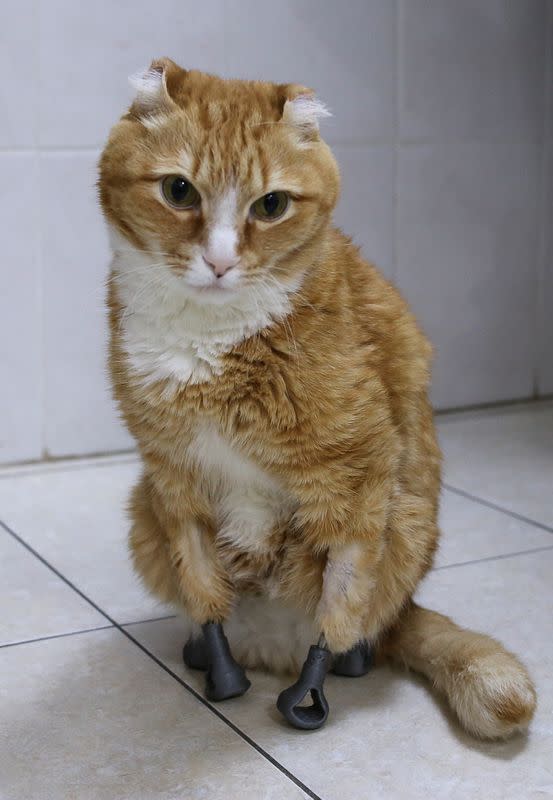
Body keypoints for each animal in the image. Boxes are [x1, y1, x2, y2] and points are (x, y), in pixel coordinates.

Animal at [98, 57, 536, 736]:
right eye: (179, 192)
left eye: (271, 204)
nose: (220, 263)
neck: (207, 341)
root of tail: (269, 643)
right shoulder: (172, 481)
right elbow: (201, 585)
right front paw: (220, 672)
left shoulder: (359, 479)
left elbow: (343, 594)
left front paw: (309, 693)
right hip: (142, 512)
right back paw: (203, 652)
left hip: (406, 525)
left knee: (362, 621)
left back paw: (346, 662)